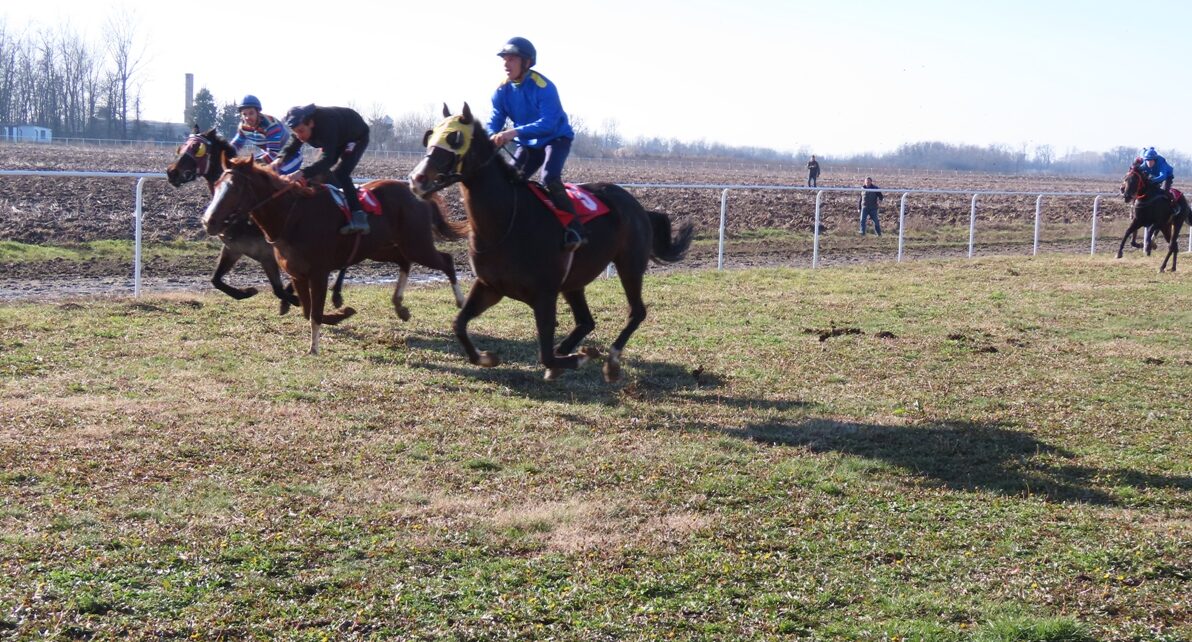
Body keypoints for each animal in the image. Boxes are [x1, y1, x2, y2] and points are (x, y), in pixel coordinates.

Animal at [163, 126, 343, 314]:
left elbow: (278, 290)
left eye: (197, 148)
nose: (172, 172)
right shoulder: (234, 248)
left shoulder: (267, 253)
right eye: (182, 147)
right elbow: (216, 280)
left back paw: (336, 294)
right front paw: (247, 291)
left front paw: (291, 299)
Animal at [202, 157, 467, 354]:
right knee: (404, 261)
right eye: (217, 184)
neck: (292, 217)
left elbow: (314, 312)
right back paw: (400, 306)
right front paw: (340, 314)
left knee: (446, 260)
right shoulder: (297, 274)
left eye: (235, 188)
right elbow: (306, 310)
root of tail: (416, 193)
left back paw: (460, 302)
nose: (208, 221)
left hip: (416, 244)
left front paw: (315, 346)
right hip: (379, 249)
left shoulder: (318, 272)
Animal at [407, 104, 696, 381]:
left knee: (636, 312)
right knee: (586, 321)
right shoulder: (490, 286)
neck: (508, 220)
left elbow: (545, 353)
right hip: (575, 281)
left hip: (629, 266)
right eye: (430, 136)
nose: (417, 178)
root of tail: (639, 208)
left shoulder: (544, 294)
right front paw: (486, 357)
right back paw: (569, 350)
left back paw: (610, 362)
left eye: (455, 138)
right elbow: (459, 324)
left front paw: (577, 359)